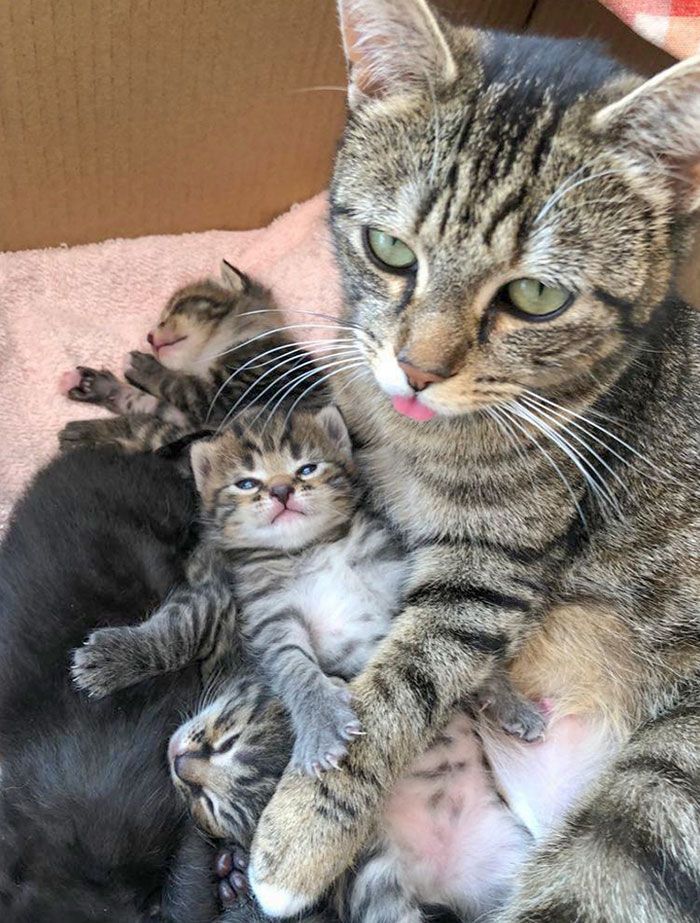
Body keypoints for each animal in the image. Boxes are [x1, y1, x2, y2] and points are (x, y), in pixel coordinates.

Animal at [58, 260, 326, 454]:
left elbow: (177, 387)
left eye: (177, 307)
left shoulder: (229, 393)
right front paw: (102, 386)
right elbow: (151, 405)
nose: (149, 337)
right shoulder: (192, 419)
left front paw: (145, 367)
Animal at [249, 1, 700, 923]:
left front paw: (300, 831)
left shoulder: (487, 574)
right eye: (389, 249)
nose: (416, 369)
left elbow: (399, 687)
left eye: (537, 296)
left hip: (661, 795)